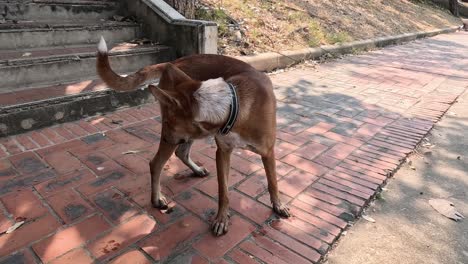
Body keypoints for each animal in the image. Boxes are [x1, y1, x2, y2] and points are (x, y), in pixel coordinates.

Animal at [96, 36, 288, 235]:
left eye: (168, 123)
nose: (165, 136)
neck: (233, 107)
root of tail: (173, 62)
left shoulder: (267, 152)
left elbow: (273, 181)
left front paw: (278, 205)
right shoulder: (222, 152)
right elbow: (223, 191)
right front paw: (221, 219)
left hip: (186, 136)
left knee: (180, 152)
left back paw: (195, 170)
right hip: (181, 137)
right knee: (156, 163)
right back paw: (157, 199)